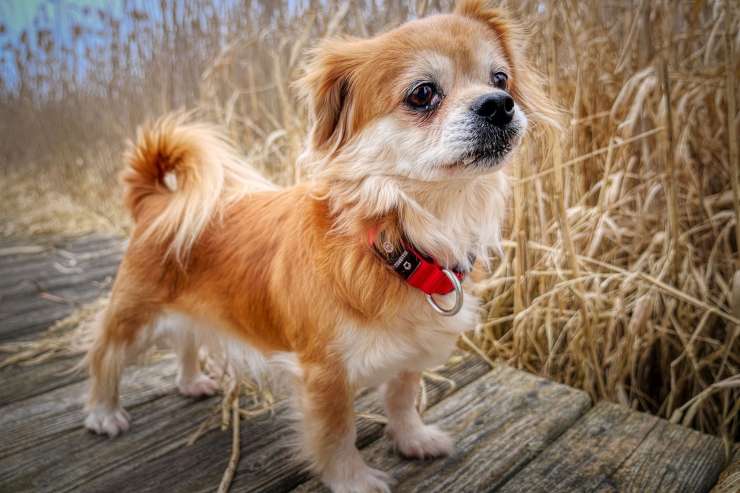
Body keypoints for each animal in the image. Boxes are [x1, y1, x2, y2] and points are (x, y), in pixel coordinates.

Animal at [82, 1, 556, 490]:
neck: (396, 238)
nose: (499, 104)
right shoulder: (324, 375)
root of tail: (159, 198)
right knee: (105, 352)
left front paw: (413, 438)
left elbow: (402, 398)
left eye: (500, 79)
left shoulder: (410, 353)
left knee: (188, 338)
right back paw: (103, 412)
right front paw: (353, 479)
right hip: (135, 314)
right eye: (423, 94)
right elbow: (337, 432)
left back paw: (191, 381)